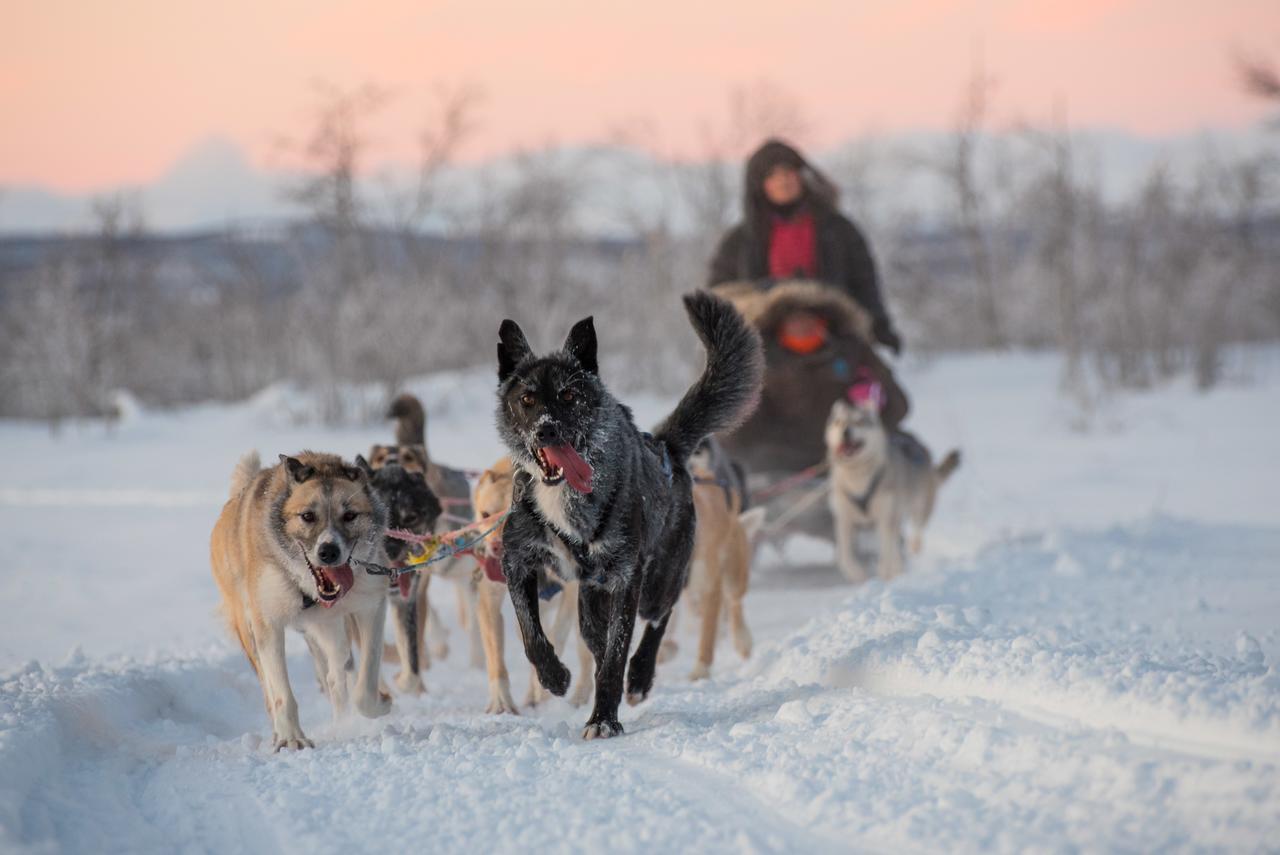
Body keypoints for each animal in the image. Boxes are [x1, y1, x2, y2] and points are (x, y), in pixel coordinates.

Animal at [209, 450, 391, 752]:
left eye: (350, 515)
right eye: (307, 515)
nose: (328, 551)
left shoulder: (372, 606)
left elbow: (365, 683)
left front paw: (378, 705)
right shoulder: (267, 623)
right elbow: (281, 692)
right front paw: (291, 737)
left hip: (330, 628)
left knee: (336, 674)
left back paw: (342, 718)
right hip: (249, 632)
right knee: (269, 690)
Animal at [494, 290, 762, 737]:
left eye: (569, 396)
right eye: (526, 399)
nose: (546, 430)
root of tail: (665, 447)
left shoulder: (625, 577)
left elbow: (616, 655)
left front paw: (604, 719)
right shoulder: (517, 560)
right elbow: (531, 632)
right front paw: (554, 676)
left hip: (658, 582)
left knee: (659, 617)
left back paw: (639, 677)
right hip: (590, 601)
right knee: (596, 640)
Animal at [824, 401, 957, 581]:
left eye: (859, 421)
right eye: (839, 422)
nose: (845, 432)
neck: (858, 479)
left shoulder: (884, 517)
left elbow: (886, 550)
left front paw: (884, 573)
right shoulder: (844, 519)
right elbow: (844, 553)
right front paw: (855, 572)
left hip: (919, 505)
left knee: (916, 528)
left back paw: (913, 547)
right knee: (895, 542)